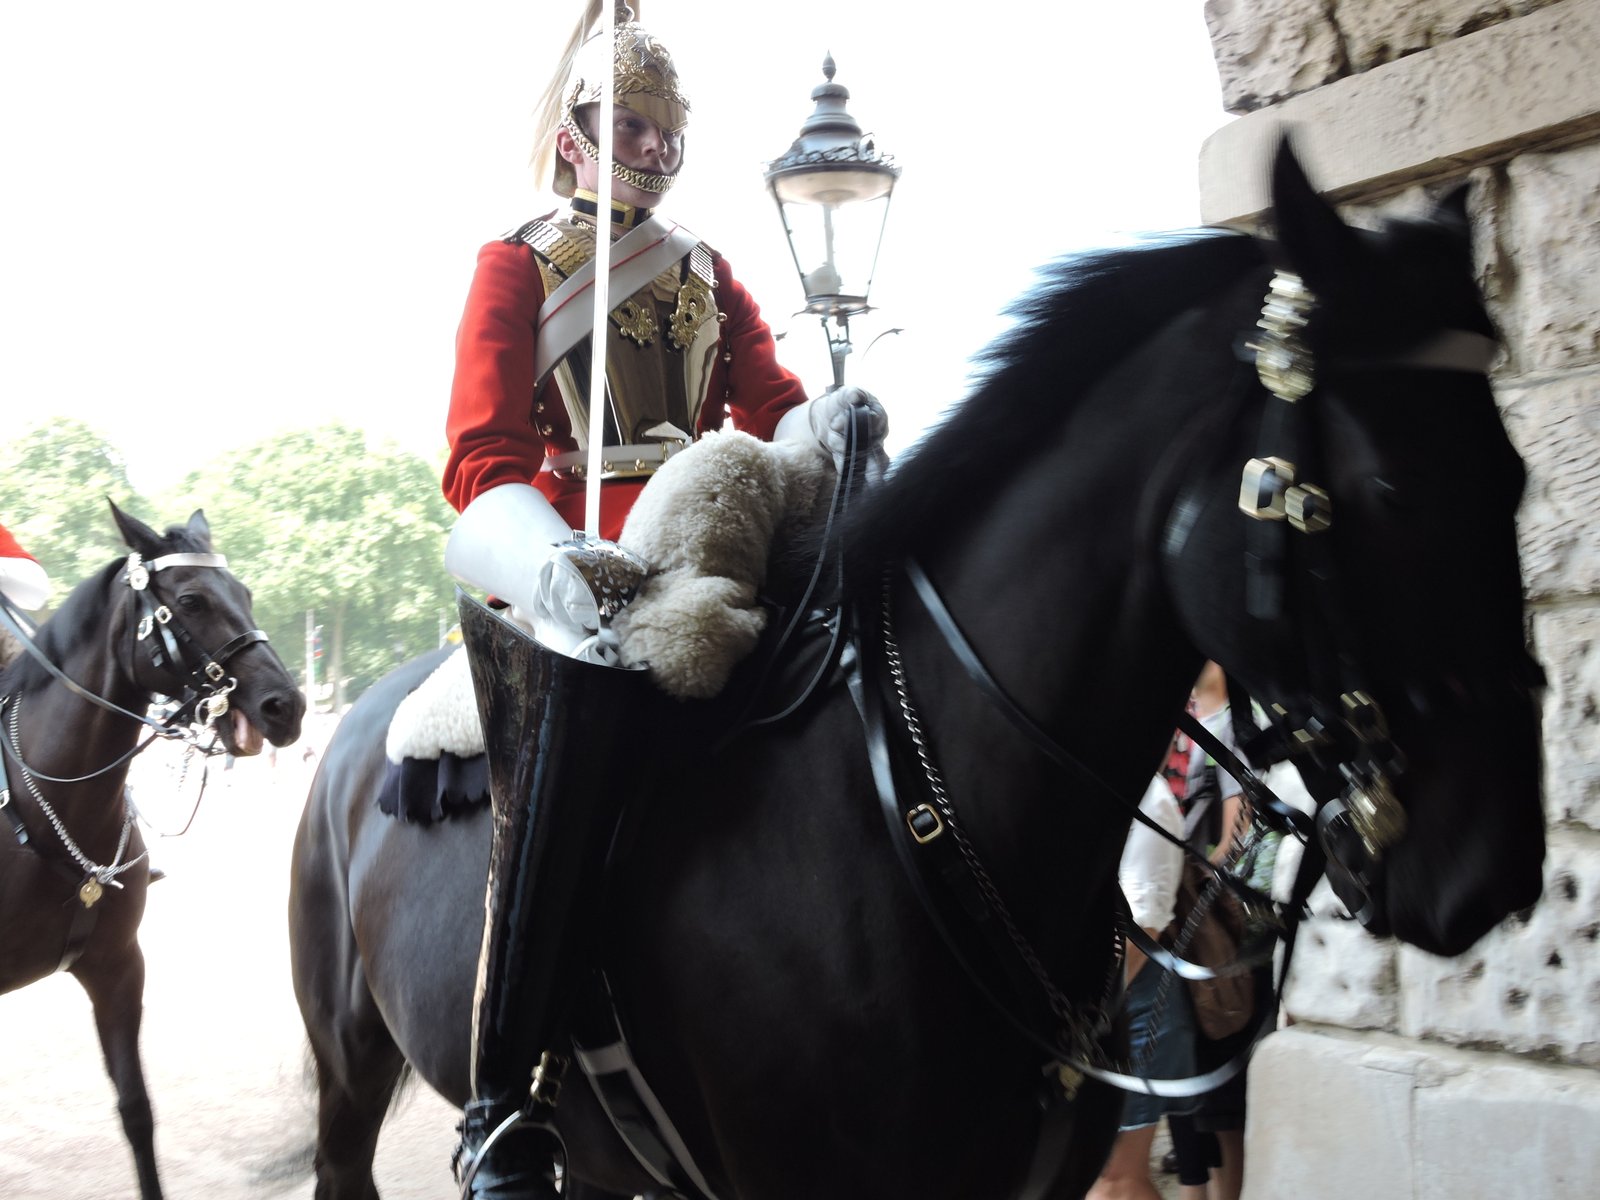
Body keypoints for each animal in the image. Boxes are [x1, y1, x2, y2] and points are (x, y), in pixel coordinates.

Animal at [287, 137, 1546, 1200]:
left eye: (1518, 473)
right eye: (1387, 486)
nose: (1489, 869)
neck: (919, 801)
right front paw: (583, 589)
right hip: (351, 1066)